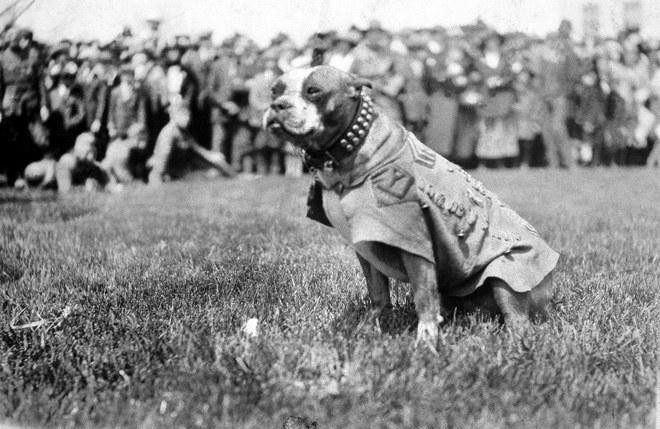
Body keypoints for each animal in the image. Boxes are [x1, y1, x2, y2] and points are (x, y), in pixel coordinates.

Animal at [262, 67, 556, 346]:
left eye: (313, 91)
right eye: (274, 91)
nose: (278, 105)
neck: (350, 149)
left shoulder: (415, 246)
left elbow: (423, 298)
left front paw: (426, 342)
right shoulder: (366, 246)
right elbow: (378, 295)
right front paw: (369, 329)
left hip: (508, 274)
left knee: (517, 318)